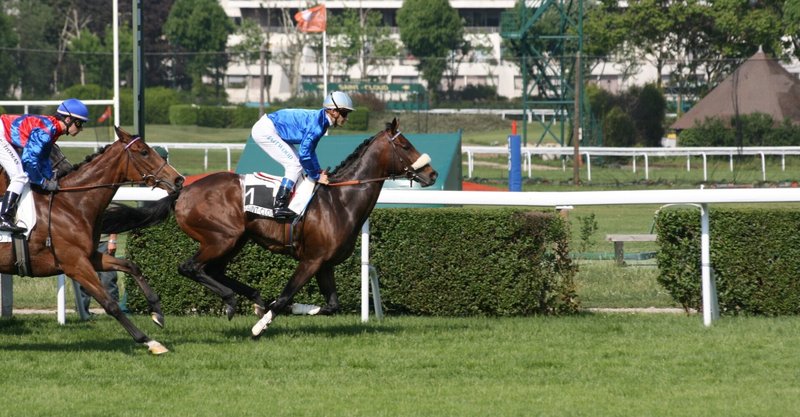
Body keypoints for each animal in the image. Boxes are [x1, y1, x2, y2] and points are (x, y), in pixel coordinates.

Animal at [0, 127, 184, 354]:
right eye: (144, 152)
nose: (179, 180)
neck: (71, 204)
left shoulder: (90, 256)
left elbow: (130, 265)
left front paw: (157, 312)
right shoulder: (75, 264)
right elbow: (110, 304)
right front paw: (149, 341)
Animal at [101, 118, 437, 337]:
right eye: (405, 144)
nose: (432, 173)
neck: (340, 200)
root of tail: (183, 190)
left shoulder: (325, 263)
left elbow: (332, 305)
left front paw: (289, 309)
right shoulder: (311, 260)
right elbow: (287, 295)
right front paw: (263, 324)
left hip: (235, 240)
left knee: (214, 270)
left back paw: (254, 299)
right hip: (222, 238)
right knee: (190, 267)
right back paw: (233, 302)